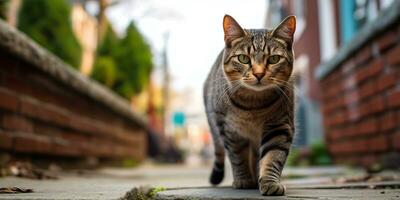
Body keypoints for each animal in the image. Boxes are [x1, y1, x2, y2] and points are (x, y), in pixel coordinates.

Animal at [205, 14, 296, 196]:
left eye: (274, 59)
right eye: (243, 58)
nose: (259, 73)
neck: (253, 105)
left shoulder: (280, 126)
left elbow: (272, 157)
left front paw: (269, 182)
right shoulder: (230, 130)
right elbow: (237, 157)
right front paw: (243, 179)